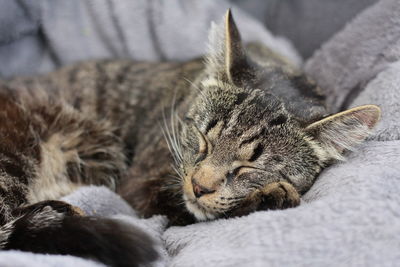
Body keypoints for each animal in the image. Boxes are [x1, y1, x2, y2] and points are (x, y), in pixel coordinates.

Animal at [0, 9, 380, 267]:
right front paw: (269, 197)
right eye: (203, 138)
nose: (199, 185)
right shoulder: (140, 185)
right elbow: (197, 210)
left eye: (248, 168)